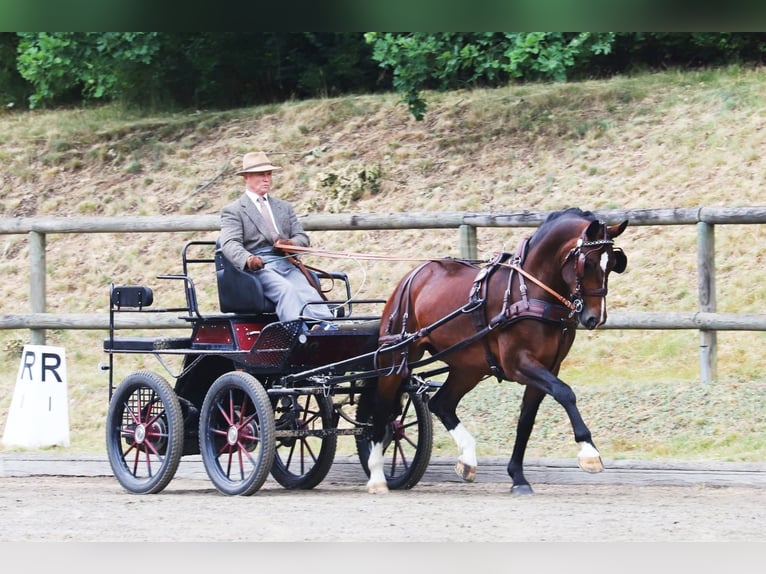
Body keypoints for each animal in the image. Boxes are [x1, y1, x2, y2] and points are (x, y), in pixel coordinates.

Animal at [368, 209, 632, 498]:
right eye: (589, 263)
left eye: (613, 263)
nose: (596, 317)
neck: (528, 291)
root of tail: (413, 276)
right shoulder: (519, 363)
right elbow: (565, 393)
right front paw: (589, 451)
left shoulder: (548, 367)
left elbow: (526, 420)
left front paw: (518, 477)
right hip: (394, 359)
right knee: (381, 411)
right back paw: (377, 476)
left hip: (468, 367)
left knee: (441, 404)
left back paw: (467, 458)